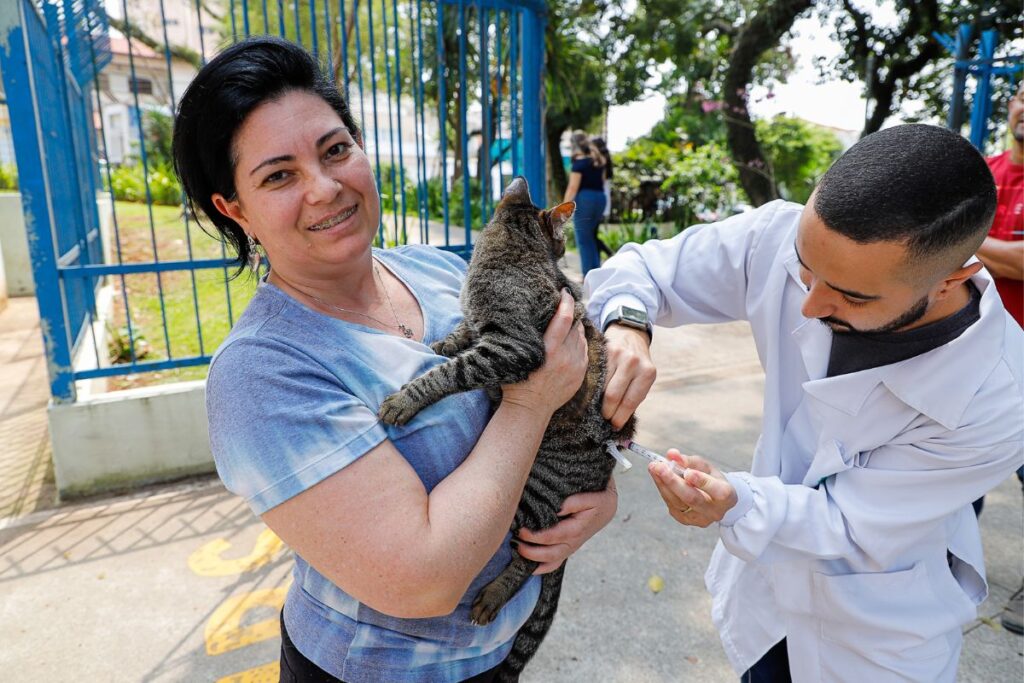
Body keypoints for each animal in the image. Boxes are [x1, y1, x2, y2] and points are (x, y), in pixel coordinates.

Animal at [376, 176, 630, 679]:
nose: (565, 247)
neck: (506, 256)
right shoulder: (487, 333)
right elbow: (458, 338)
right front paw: (440, 341)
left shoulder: (512, 347)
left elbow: (450, 371)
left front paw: (407, 397)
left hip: (525, 498)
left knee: (532, 558)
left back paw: (493, 594)